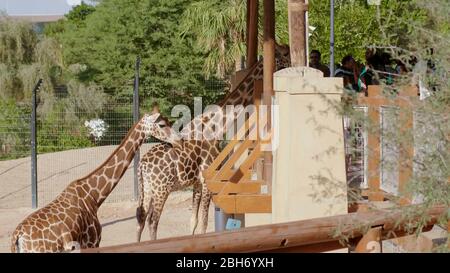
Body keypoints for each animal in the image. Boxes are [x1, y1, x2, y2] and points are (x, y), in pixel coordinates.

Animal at [135, 44, 290, 240]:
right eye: (284, 53)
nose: (292, 64)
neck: (215, 127)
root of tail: (141, 166)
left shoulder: (197, 183)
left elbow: (193, 221)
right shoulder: (206, 181)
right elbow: (203, 222)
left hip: (147, 190)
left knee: (140, 221)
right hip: (161, 189)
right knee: (152, 222)